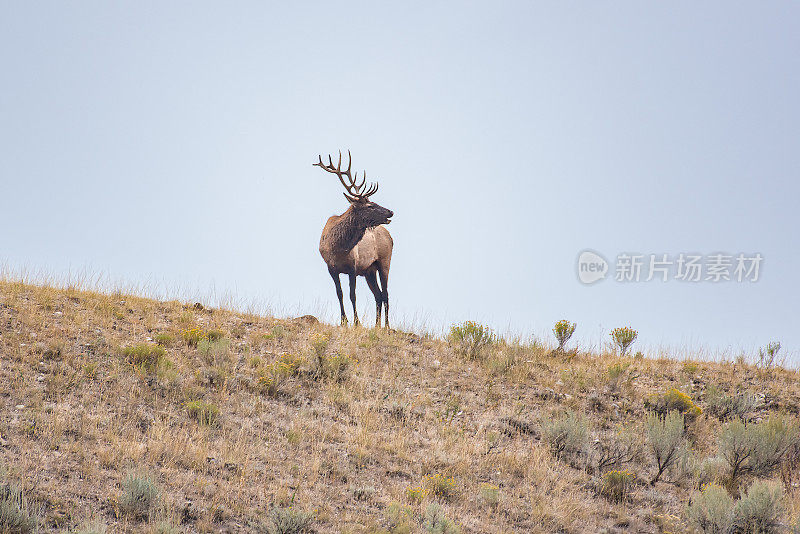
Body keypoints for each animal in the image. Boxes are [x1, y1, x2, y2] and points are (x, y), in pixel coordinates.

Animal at [318, 149, 396, 328]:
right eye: (370, 205)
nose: (391, 212)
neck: (338, 247)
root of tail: (390, 237)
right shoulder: (331, 268)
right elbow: (339, 293)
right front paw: (343, 321)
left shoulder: (352, 266)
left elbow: (352, 295)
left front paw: (356, 322)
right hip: (369, 271)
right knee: (378, 295)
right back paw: (377, 326)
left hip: (384, 261)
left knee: (386, 294)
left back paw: (387, 326)